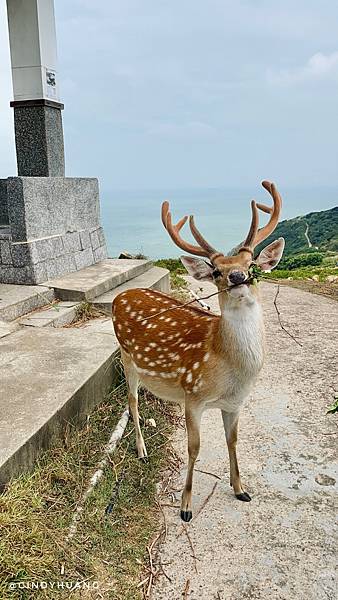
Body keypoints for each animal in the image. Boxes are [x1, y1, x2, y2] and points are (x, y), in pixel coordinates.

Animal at [112, 182, 284, 520]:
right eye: (216, 271)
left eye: (251, 265)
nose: (237, 277)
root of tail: (119, 296)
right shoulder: (193, 395)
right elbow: (194, 448)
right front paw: (186, 506)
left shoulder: (235, 403)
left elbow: (233, 441)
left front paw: (241, 489)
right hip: (126, 356)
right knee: (132, 400)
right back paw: (141, 450)